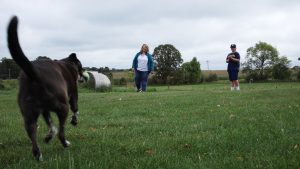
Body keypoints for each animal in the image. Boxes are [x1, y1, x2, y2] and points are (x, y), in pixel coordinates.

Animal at [7, 16, 84, 161]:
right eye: (81, 66)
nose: (83, 76)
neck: (67, 62)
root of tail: (33, 72)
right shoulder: (73, 93)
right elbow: (75, 109)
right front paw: (74, 121)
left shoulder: (44, 109)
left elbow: (50, 125)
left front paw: (48, 136)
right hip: (62, 107)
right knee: (61, 131)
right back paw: (65, 144)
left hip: (28, 114)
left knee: (33, 133)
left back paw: (38, 155)